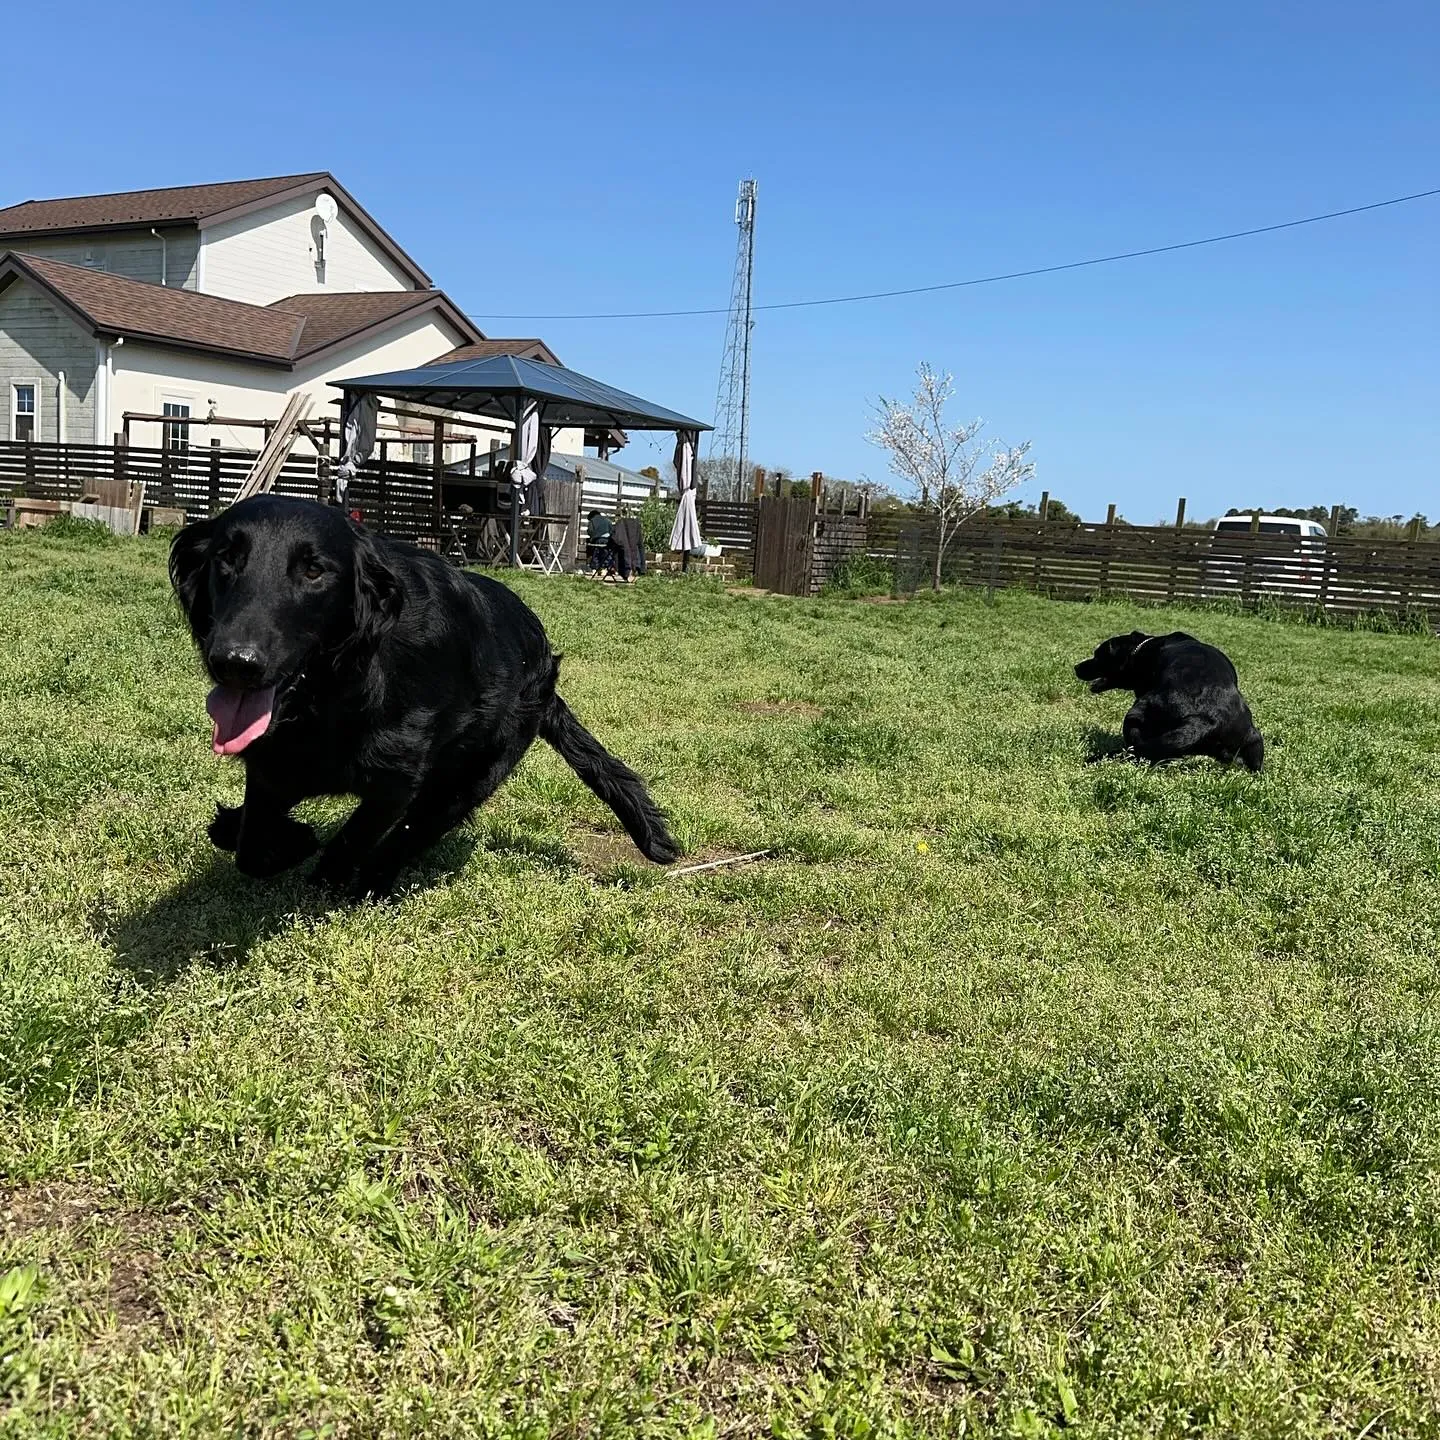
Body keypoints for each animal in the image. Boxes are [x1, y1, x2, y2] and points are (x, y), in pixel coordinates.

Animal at [169, 498, 679, 898]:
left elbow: (353, 839)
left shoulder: (397, 781)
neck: (334, 690)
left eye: (314, 570)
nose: (235, 662)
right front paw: (277, 836)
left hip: (473, 775)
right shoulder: (273, 762)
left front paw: (317, 856)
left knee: (410, 836)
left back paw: (372, 882)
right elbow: (251, 846)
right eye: (226, 559)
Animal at [1071, 627, 1261, 771]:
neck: (1141, 650)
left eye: (1097, 655)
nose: (1076, 667)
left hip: (1135, 713)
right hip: (1254, 738)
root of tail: (1206, 719)